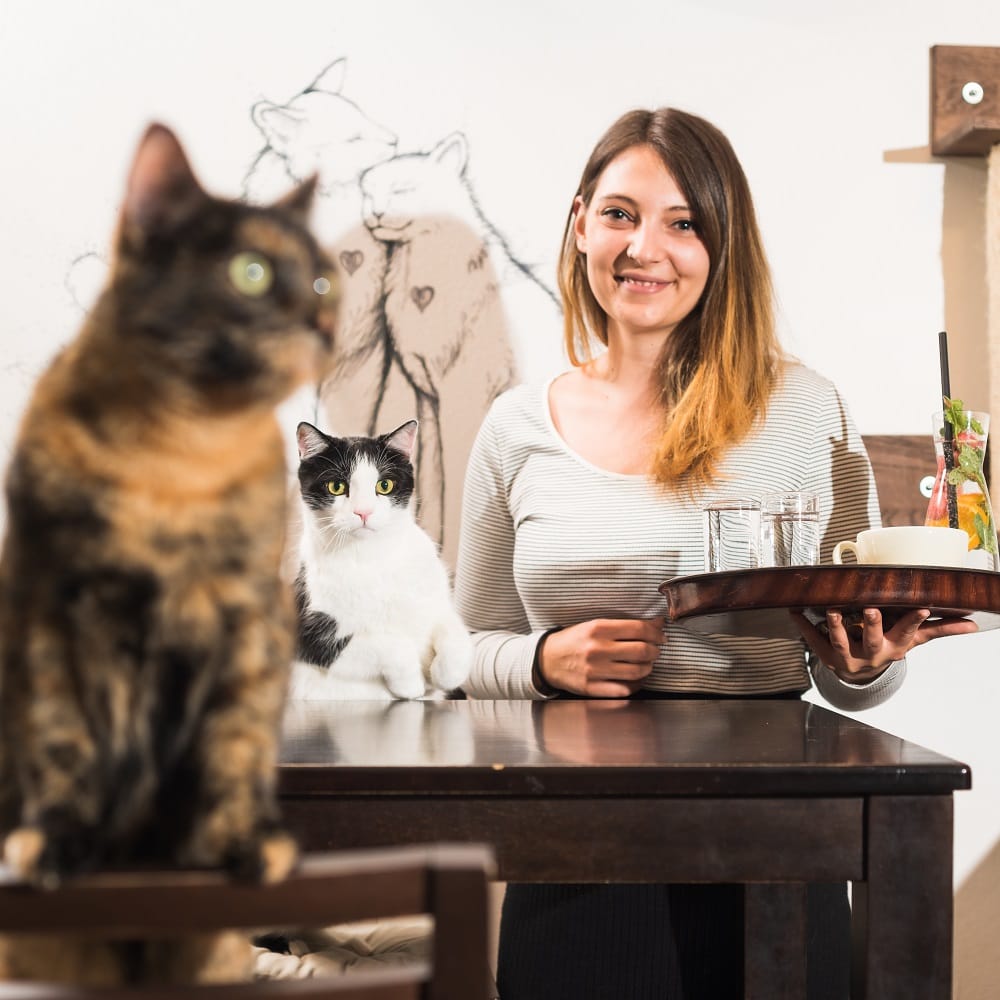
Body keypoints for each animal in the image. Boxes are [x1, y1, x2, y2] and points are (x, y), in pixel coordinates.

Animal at [0, 123, 338, 984]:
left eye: (327, 281)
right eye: (251, 272)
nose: (323, 324)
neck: (180, 458)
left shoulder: (249, 622)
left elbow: (236, 742)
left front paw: (243, 843)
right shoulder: (50, 609)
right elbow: (61, 740)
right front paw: (54, 843)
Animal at [290, 418, 472, 700]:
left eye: (384, 486)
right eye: (336, 486)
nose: (363, 512)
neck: (373, 556)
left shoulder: (436, 600)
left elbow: (455, 631)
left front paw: (445, 674)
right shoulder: (307, 631)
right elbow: (386, 643)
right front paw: (411, 684)